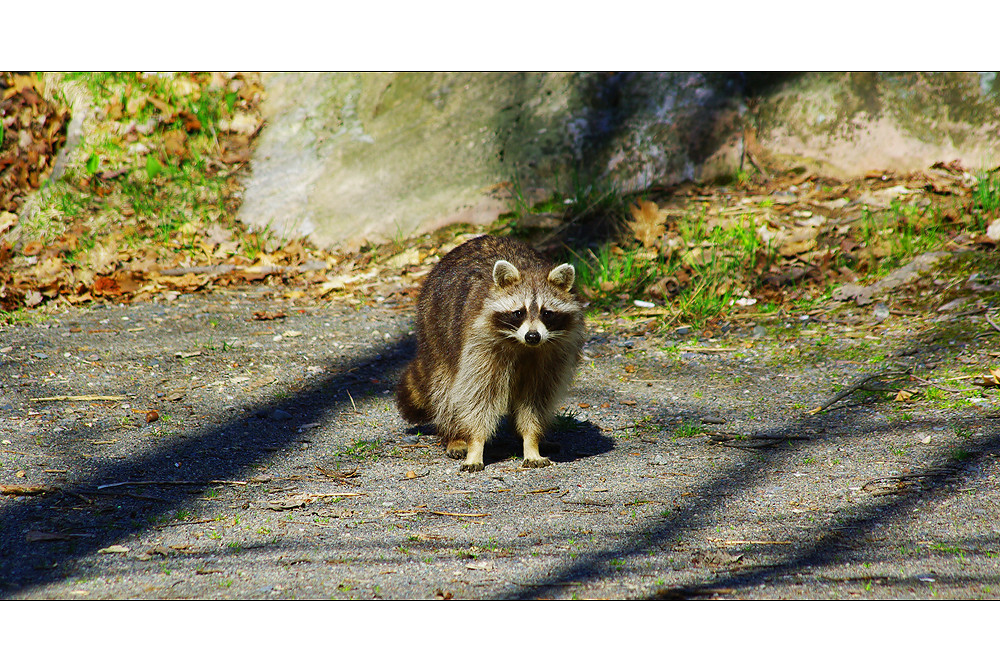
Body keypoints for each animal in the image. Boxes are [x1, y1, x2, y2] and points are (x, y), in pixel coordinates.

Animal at [398, 236, 584, 472]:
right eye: (519, 313)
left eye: (547, 313)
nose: (533, 336)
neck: (523, 346)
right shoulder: (479, 343)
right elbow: (478, 396)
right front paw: (475, 443)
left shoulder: (552, 354)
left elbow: (536, 399)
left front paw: (531, 440)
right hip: (435, 330)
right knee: (446, 389)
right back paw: (455, 435)